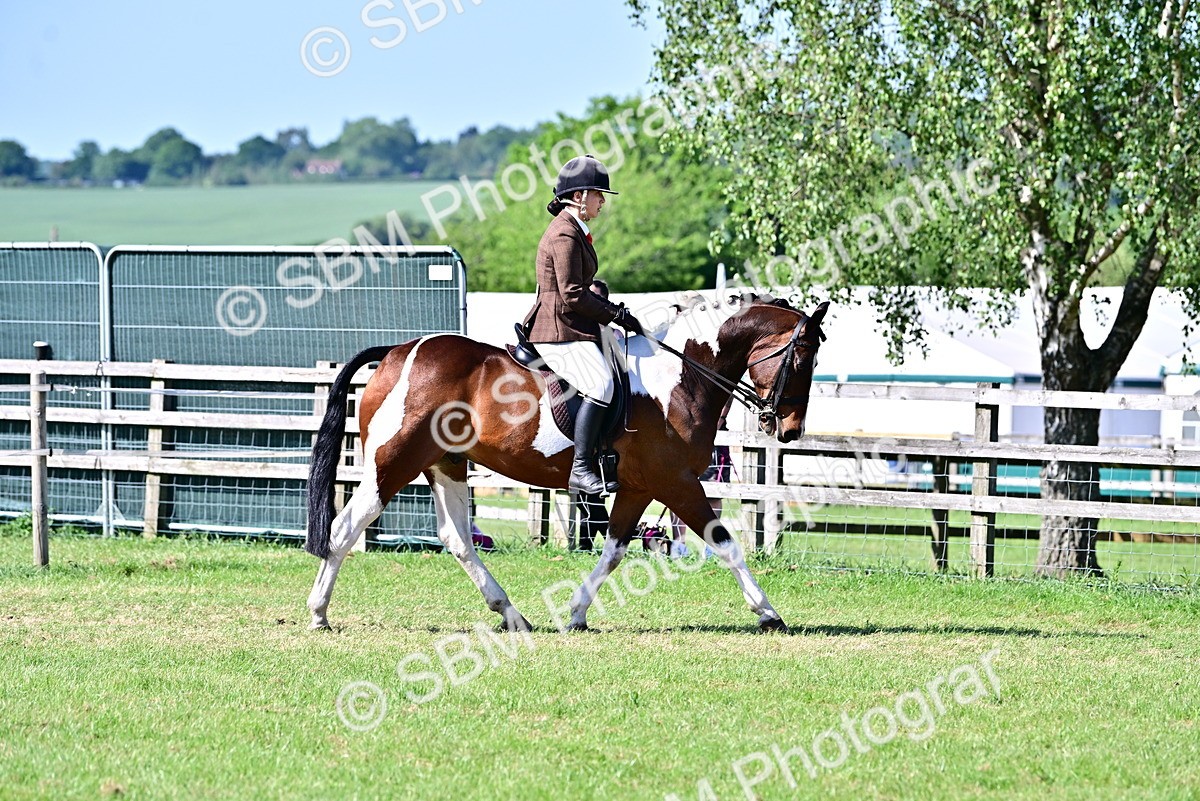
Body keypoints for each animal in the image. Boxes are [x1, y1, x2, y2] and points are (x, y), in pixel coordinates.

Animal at [305, 295, 829, 633]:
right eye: (804, 358)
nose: (789, 430)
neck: (679, 378)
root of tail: (398, 352)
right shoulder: (676, 482)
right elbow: (726, 544)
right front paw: (769, 613)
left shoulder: (639, 487)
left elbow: (614, 550)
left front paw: (576, 613)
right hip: (391, 464)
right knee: (346, 528)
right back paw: (318, 613)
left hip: (446, 464)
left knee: (456, 538)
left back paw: (511, 614)